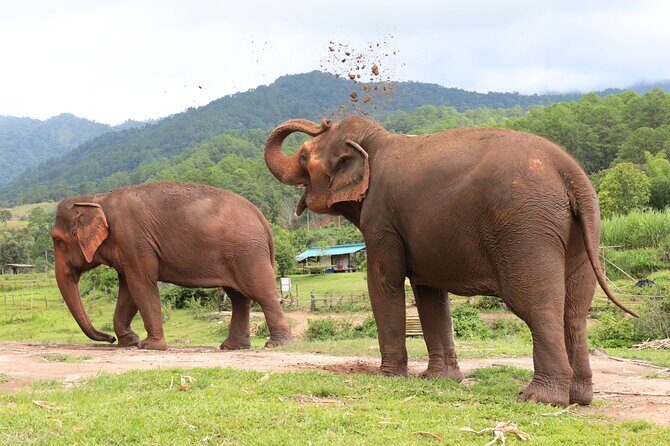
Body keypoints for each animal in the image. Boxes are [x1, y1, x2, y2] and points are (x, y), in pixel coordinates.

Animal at [51, 182, 292, 350]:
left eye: (58, 241)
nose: (108, 339)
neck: (97, 198)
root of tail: (262, 218)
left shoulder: (134, 241)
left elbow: (141, 285)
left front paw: (149, 346)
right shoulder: (128, 249)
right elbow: (128, 289)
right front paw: (129, 342)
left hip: (248, 254)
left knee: (262, 293)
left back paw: (276, 344)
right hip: (239, 255)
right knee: (238, 298)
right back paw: (231, 347)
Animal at [264, 116, 637, 406]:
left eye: (304, 155)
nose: (323, 121)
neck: (375, 141)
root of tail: (570, 172)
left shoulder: (381, 218)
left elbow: (384, 282)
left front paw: (388, 377)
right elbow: (429, 293)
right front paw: (439, 379)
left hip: (526, 230)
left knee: (538, 305)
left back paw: (538, 398)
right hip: (582, 233)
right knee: (575, 310)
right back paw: (580, 398)